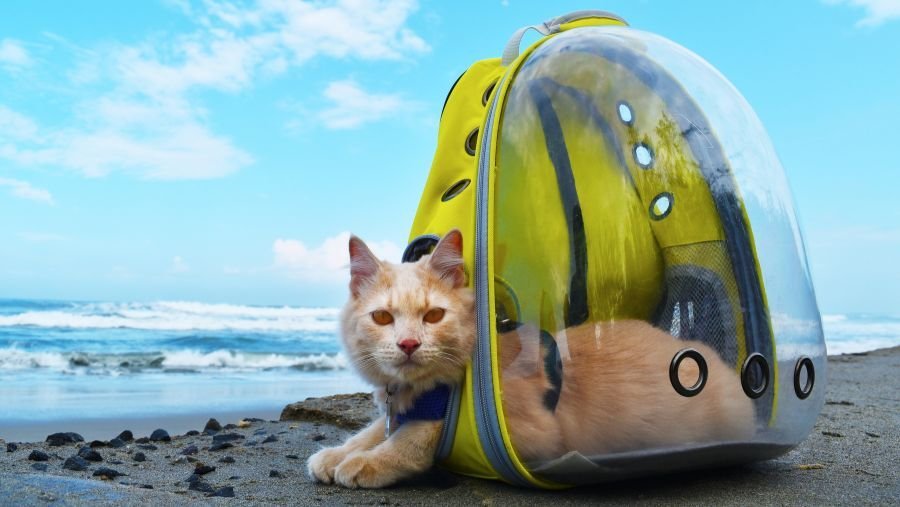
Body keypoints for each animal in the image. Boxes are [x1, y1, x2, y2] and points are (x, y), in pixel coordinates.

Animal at [306, 230, 756, 488]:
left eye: (433, 315)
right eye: (383, 317)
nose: (408, 345)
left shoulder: (530, 432)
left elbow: (412, 436)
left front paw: (364, 463)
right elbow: (372, 430)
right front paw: (337, 454)